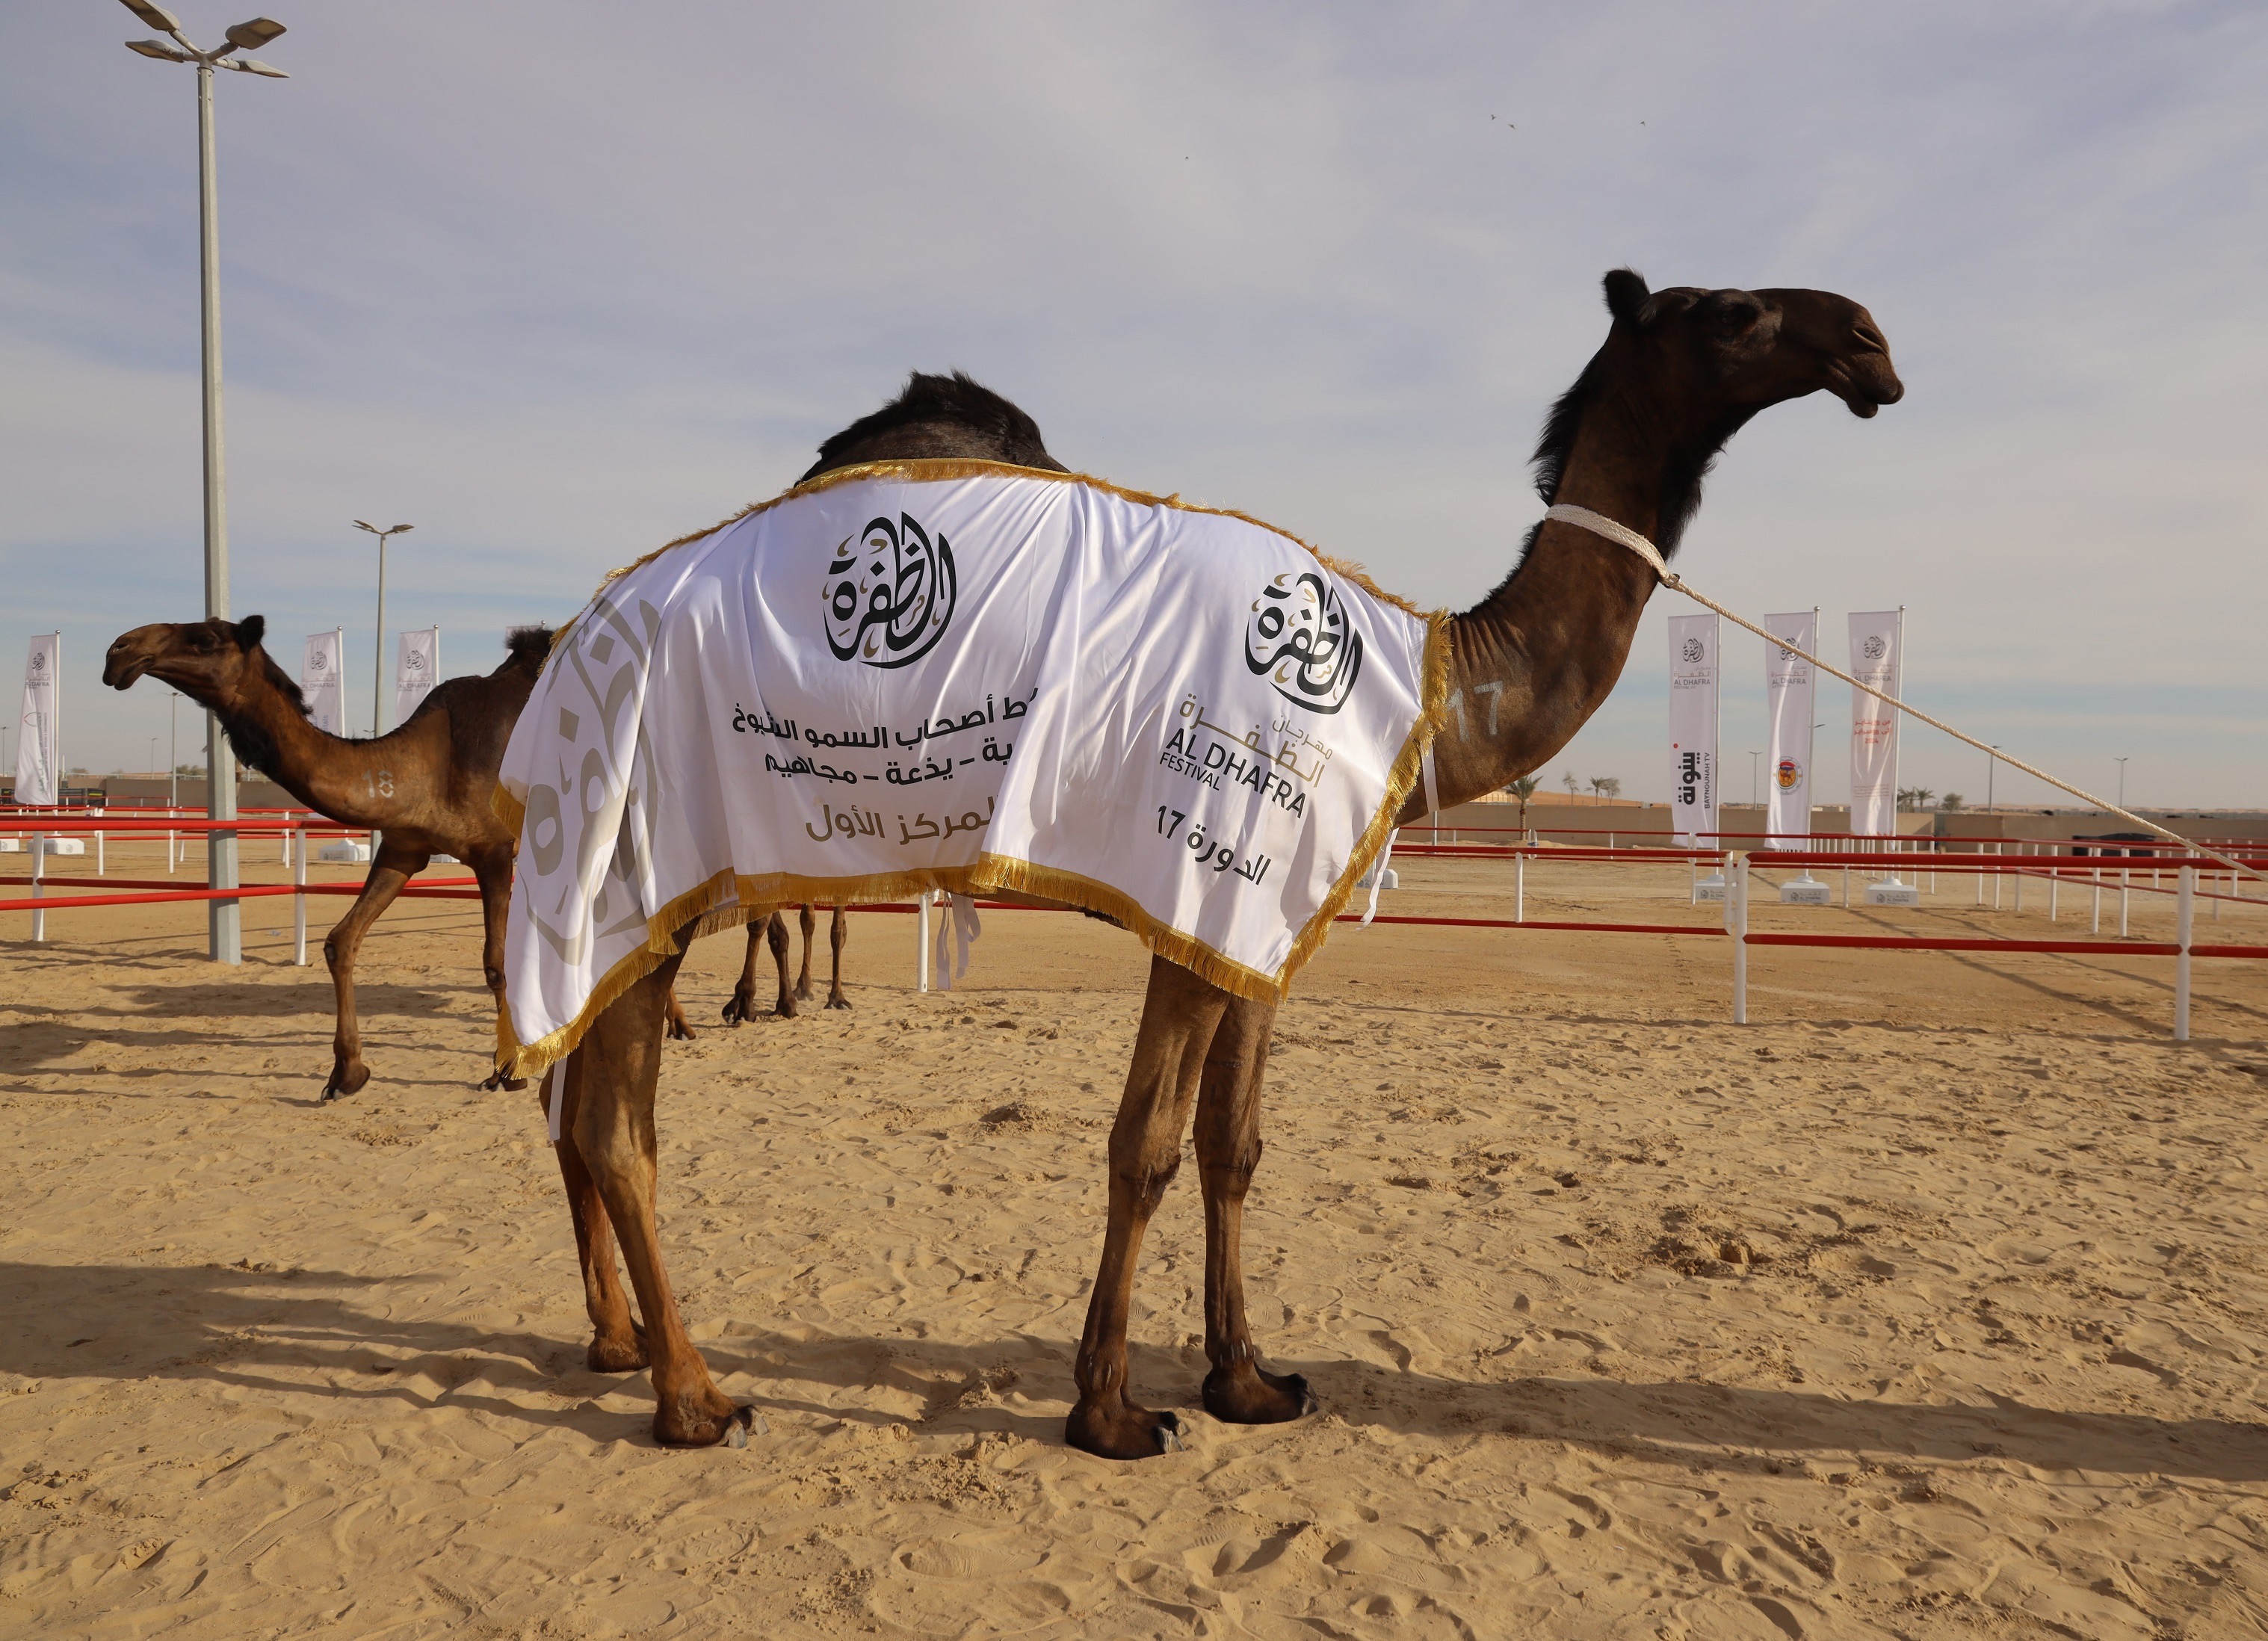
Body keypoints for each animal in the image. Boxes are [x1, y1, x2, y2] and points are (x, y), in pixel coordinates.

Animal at [540, 271, 1905, 1450]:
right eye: (1730, 312)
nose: (1871, 344)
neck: (1430, 683)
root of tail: (582, 636)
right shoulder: (1189, 892)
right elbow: (1142, 1142)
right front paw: (1109, 1411)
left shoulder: (1259, 914)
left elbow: (1229, 1144)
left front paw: (1245, 1378)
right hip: (653, 862)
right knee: (614, 1125)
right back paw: (694, 1399)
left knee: (596, 1114)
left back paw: (635, 1355)